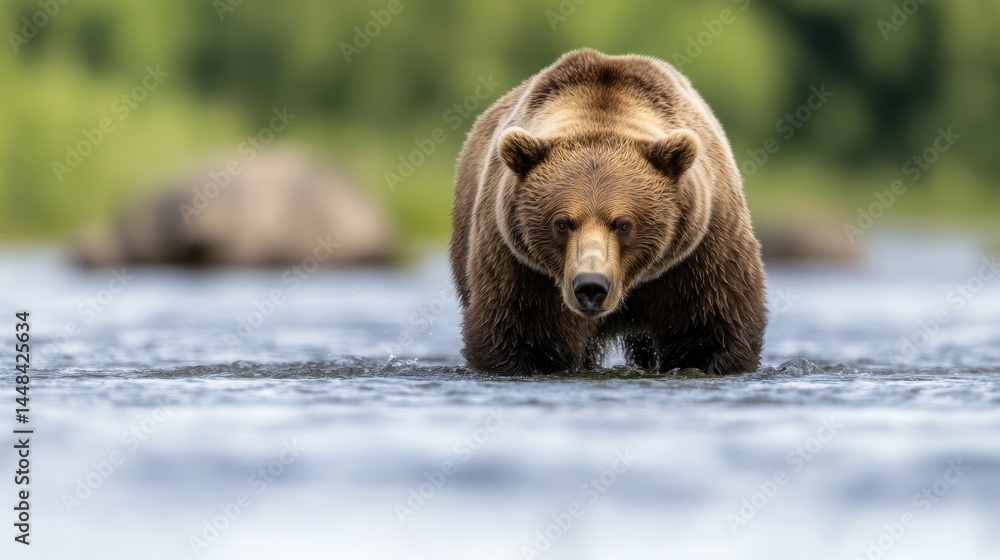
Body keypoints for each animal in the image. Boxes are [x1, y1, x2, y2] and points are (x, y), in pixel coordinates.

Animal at [449, 49, 767, 375]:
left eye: (623, 224)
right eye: (562, 223)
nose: (591, 285)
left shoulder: (699, 252)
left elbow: (708, 330)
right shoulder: (519, 265)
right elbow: (523, 335)